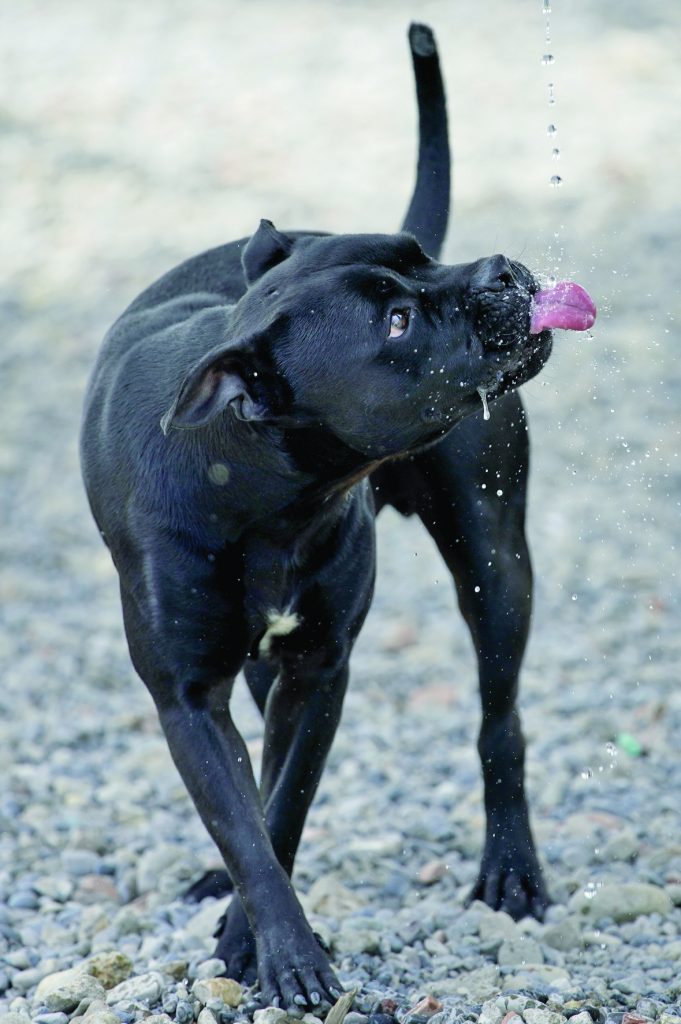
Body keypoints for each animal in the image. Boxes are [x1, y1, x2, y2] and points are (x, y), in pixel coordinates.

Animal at [83, 24, 552, 1007]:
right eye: (400, 322)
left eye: (418, 255)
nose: (497, 268)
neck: (269, 495)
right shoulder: (189, 697)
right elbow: (248, 822)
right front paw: (273, 941)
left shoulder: (320, 671)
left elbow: (284, 804)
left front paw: (251, 945)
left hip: (495, 566)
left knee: (499, 721)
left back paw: (510, 872)